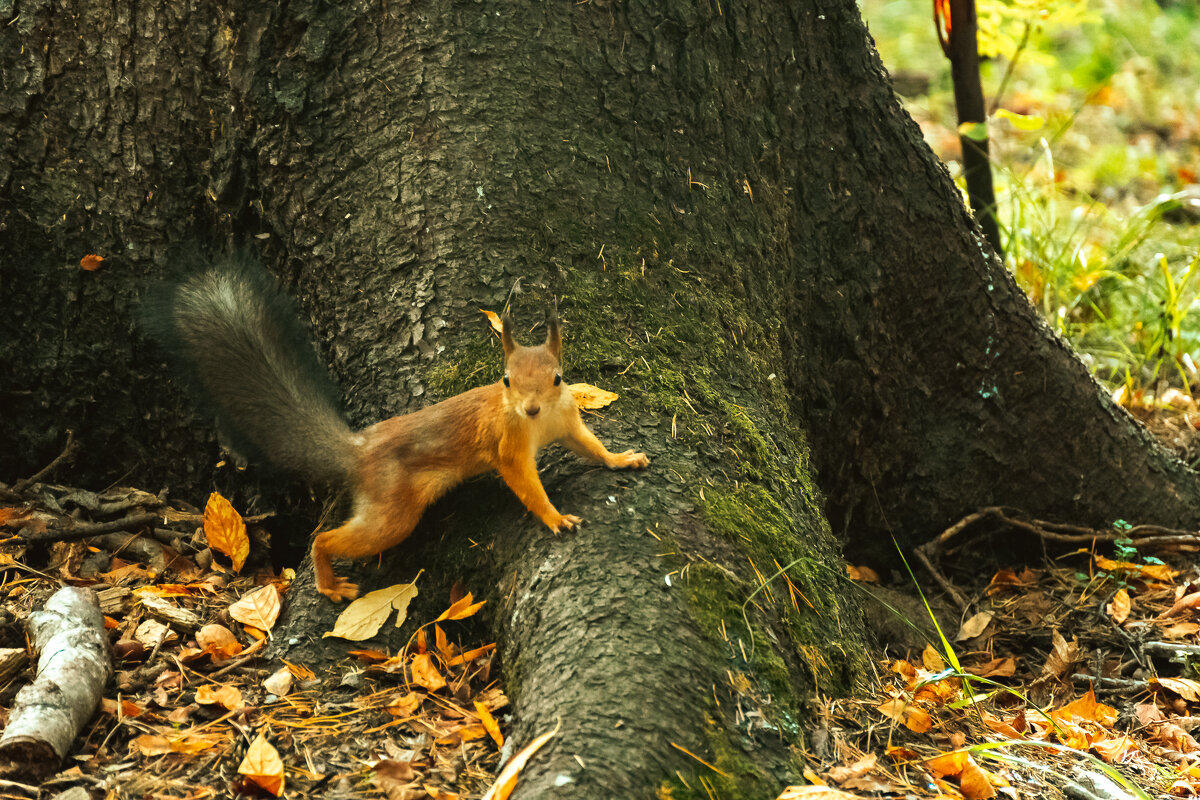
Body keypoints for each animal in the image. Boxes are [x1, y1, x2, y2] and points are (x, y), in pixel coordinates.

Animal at [157, 262, 657, 599]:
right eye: (506, 380)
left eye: (556, 378)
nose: (530, 408)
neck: (541, 421)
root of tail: (359, 451)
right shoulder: (509, 445)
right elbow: (523, 481)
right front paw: (555, 517)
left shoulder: (568, 420)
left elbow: (590, 446)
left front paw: (622, 459)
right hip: (391, 513)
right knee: (328, 539)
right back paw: (330, 582)